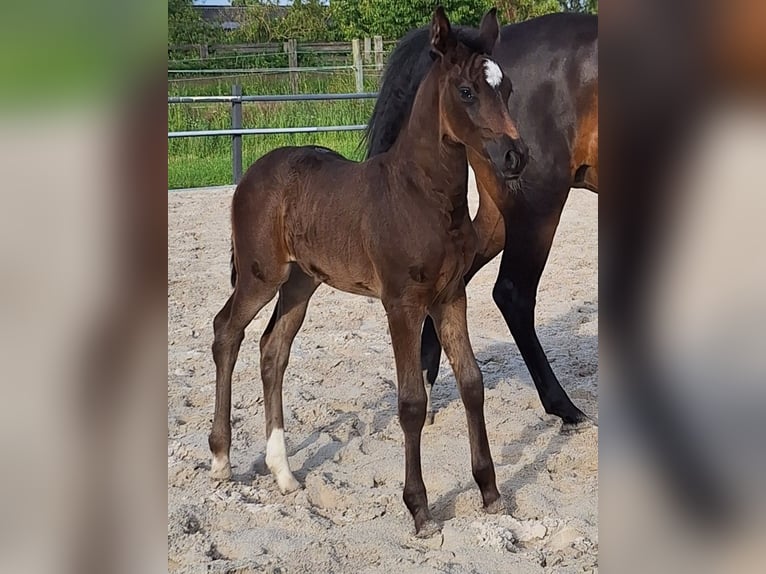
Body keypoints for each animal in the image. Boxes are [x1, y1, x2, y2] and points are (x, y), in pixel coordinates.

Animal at [207, 7, 528, 540]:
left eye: (507, 89)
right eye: (466, 92)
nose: (515, 157)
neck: (421, 196)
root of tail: (254, 171)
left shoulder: (450, 297)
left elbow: (471, 383)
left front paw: (490, 493)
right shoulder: (401, 304)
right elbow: (412, 402)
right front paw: (419, 510)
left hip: (301, 282)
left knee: (273, 348)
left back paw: (284, 473)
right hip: (261, 275)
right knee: (225, 332)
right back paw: (220, 459)